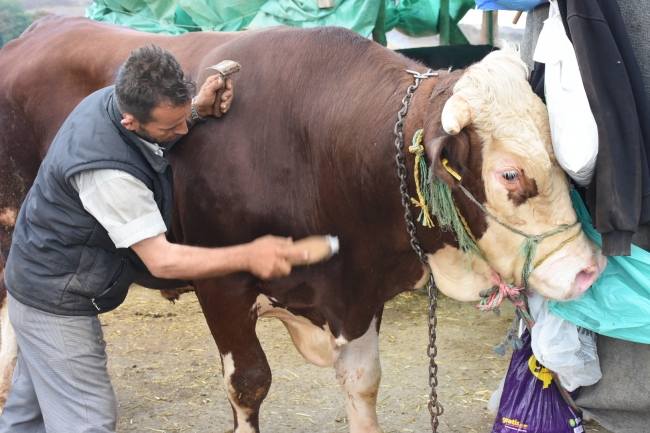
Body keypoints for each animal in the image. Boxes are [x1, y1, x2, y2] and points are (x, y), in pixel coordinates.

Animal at [0, 16, 604, 432]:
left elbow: (362, 383)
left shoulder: (360, 293)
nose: (587, 269)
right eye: (509, 174)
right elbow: (248, 384)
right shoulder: (222, 284)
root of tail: (40, 30)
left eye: (559, 156)